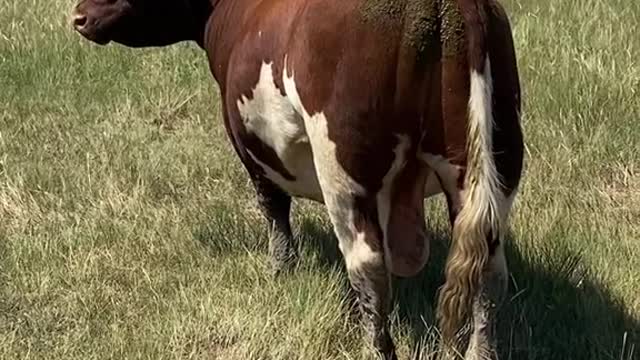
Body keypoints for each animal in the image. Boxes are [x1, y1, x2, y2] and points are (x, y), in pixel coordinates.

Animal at [72, 0, 524, 358]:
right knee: (489, 271)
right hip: (492, 163)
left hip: (342, 166)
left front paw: (281, 269)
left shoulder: (248, 143)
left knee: (369, 267)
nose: (78, 15)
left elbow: (273, 206)